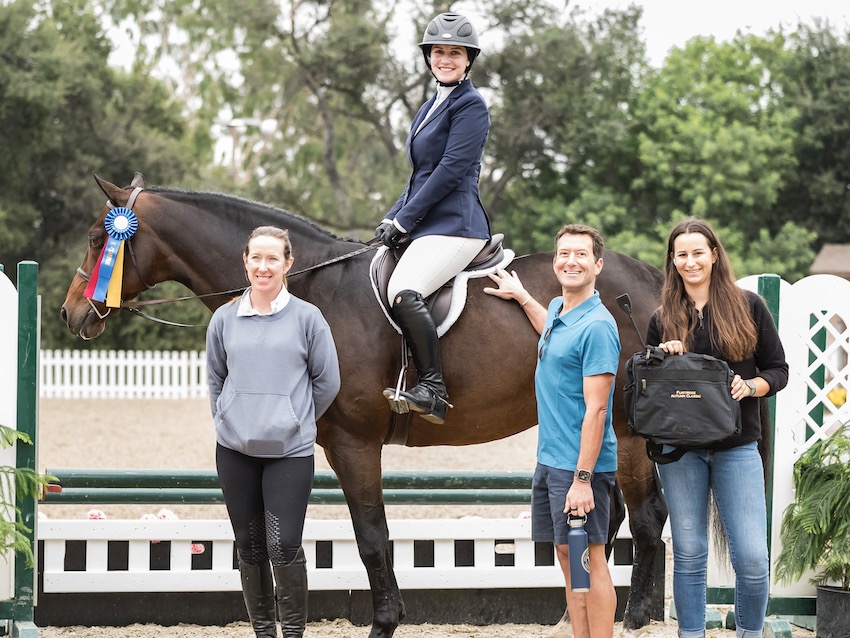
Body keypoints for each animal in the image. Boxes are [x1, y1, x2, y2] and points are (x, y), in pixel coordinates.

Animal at [61, 172, 668, 636]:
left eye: (96, 238)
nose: (71, 314)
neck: (308, 288)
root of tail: (651, 279)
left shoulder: (353, 444)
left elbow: (372, 537)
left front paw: (384, 623)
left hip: (623, 427)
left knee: (644, 515)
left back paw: (634, 618)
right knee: (611, 513)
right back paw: (581, 614)